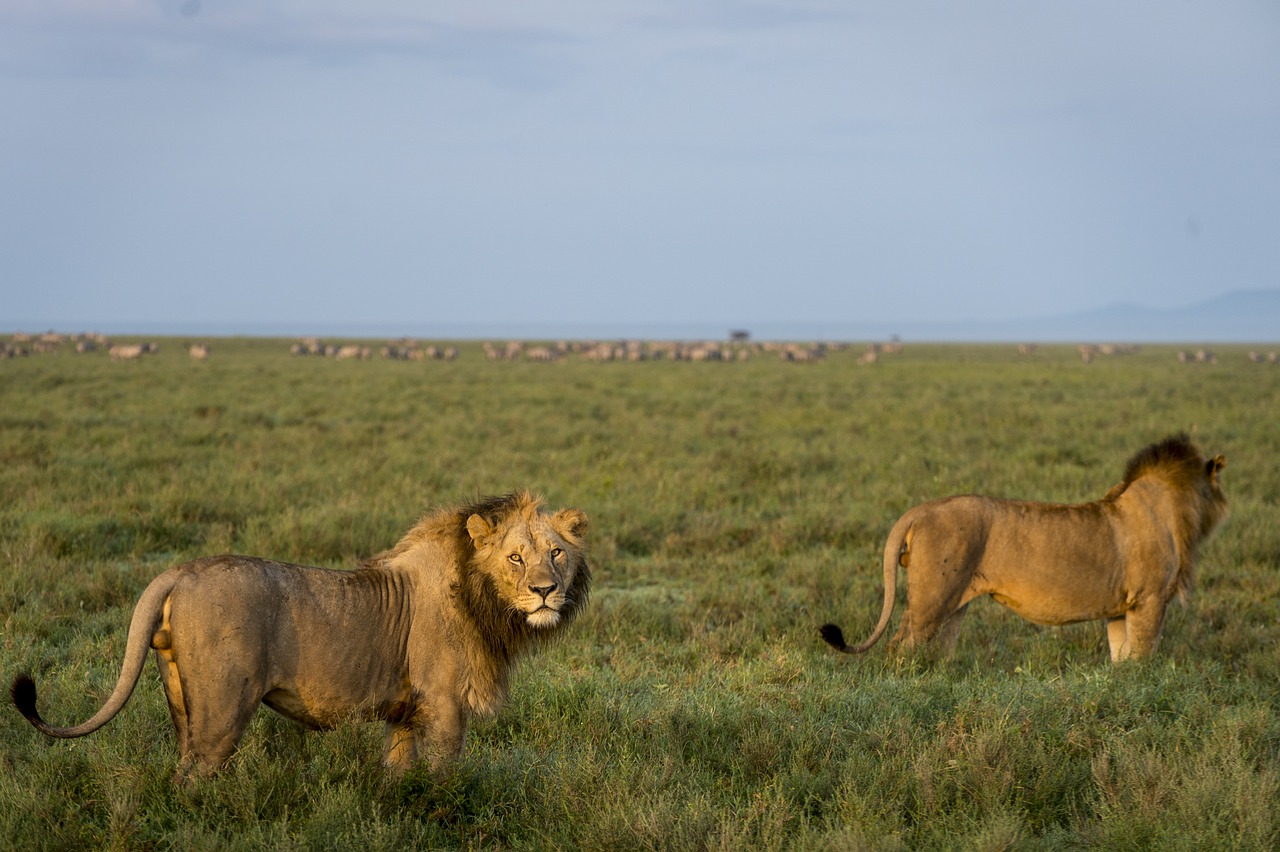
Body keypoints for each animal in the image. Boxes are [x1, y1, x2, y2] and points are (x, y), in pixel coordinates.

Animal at [11, 488, 588, 777]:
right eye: (516, 557)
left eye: (556, 552)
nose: (544, 591)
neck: (484, 601)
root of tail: (176, 571)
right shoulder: (444, 704)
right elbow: (445, 778)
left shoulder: (406, 713)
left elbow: (399, 775)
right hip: (223, 707)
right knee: (194, 775)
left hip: (179, 696)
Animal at [819, 434, 1228, 660]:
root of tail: (920, 509)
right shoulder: (1149, 600)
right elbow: (1143, 658)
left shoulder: (1119, 609)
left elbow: (1121, 657)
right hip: (930, 601)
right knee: (901, 648)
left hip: (954, 605)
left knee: (936, 654)